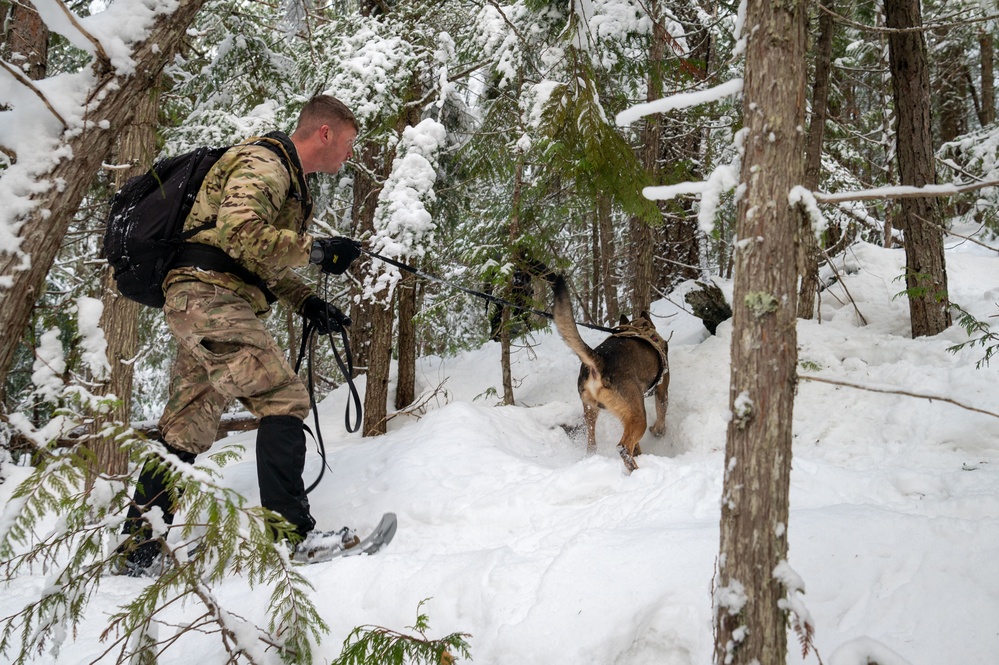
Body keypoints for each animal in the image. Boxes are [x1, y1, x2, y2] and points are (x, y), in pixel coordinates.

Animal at [552, 274, 668, 472]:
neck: (641, 328)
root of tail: (599, 361)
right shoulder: (662, 388)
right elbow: (661, 415)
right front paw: (658, 432)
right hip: (638, 416)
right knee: (623, 447)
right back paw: (635, 470)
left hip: (592, 411)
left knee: (592, 444)